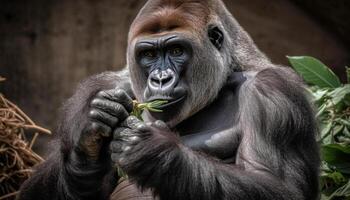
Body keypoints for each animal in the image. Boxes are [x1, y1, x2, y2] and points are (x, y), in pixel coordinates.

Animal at [18, 0, 320, 200]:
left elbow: (276, 184)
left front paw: (156, 152)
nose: (161, 79)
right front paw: (88, 138)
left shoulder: (273, 93)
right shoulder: (98, 87)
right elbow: (33, 191)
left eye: (176, 50)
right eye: (149, 55)